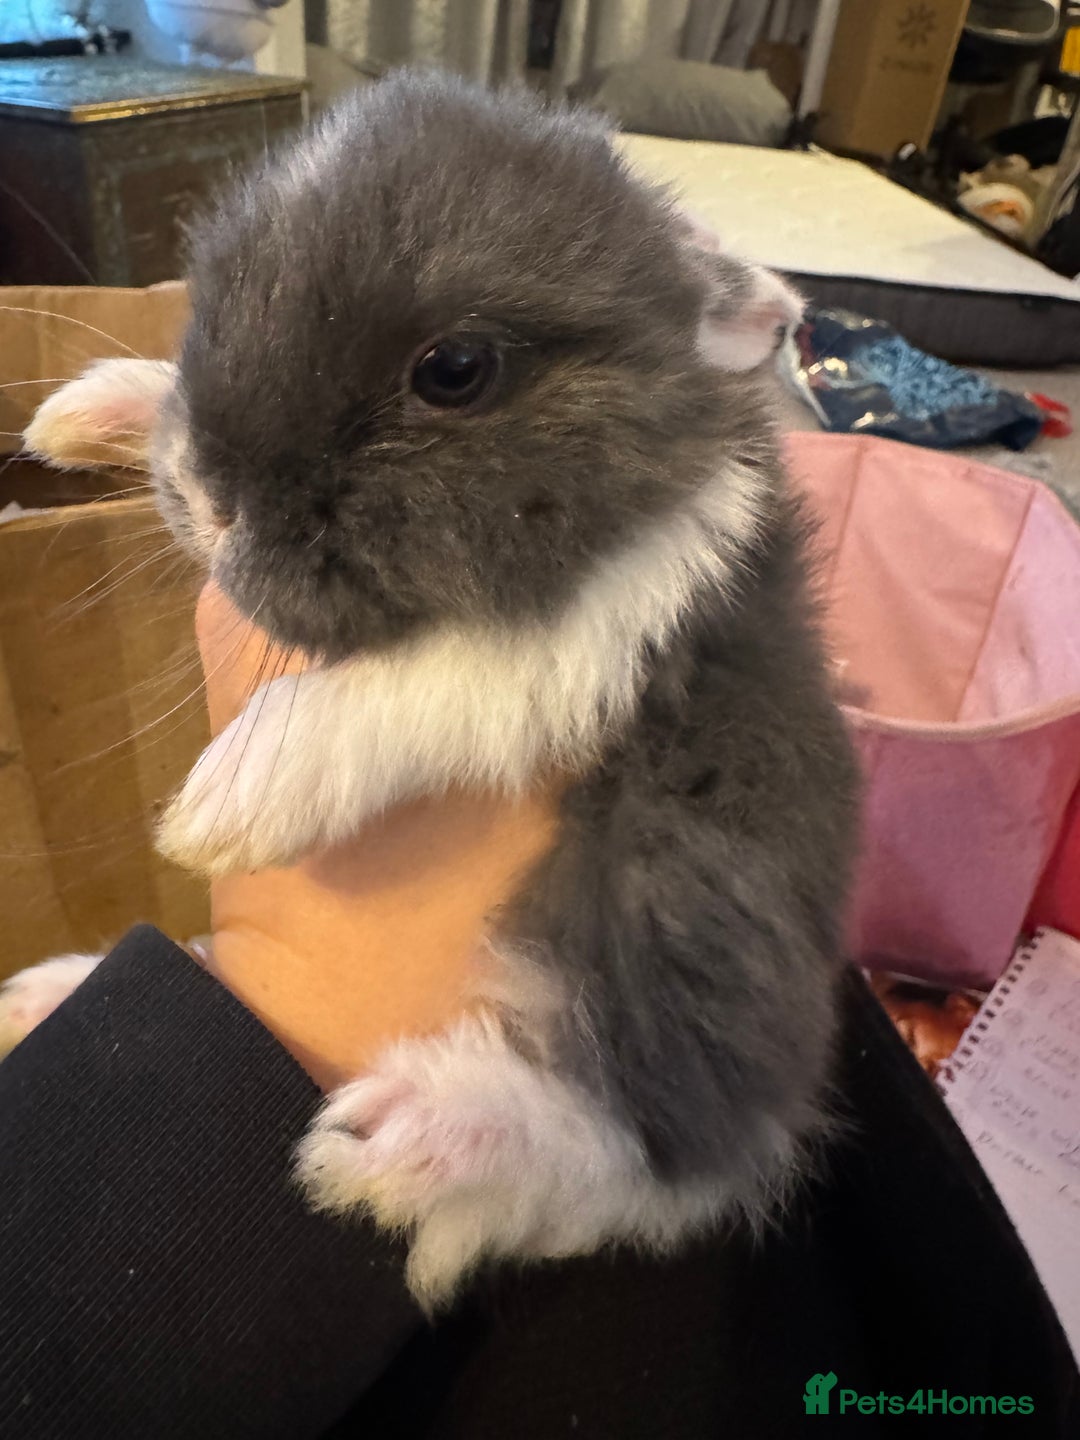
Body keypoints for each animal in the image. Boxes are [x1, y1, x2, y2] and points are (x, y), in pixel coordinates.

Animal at [6, 70, 859, 1309]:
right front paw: (89, 410)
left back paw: (431, 1143)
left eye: (455, 371)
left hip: (685, 879)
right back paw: (49, 993)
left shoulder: (612, 625)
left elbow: (442, 671)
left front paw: (231, 797)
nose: (208, 498)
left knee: (678, 1140)